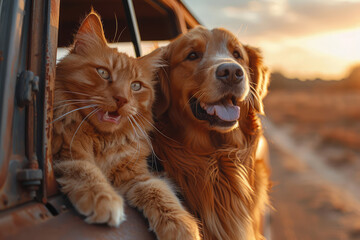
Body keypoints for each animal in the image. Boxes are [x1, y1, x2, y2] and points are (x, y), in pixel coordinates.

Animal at [51, 11, 200, 240]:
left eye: (136, 86)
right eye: (103, 73)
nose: (121, 99)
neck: (102, 140)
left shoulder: (137, 176)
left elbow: (160, 191)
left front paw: (182, 227)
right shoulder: (64, 155)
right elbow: (86, 171)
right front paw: (104, 199)